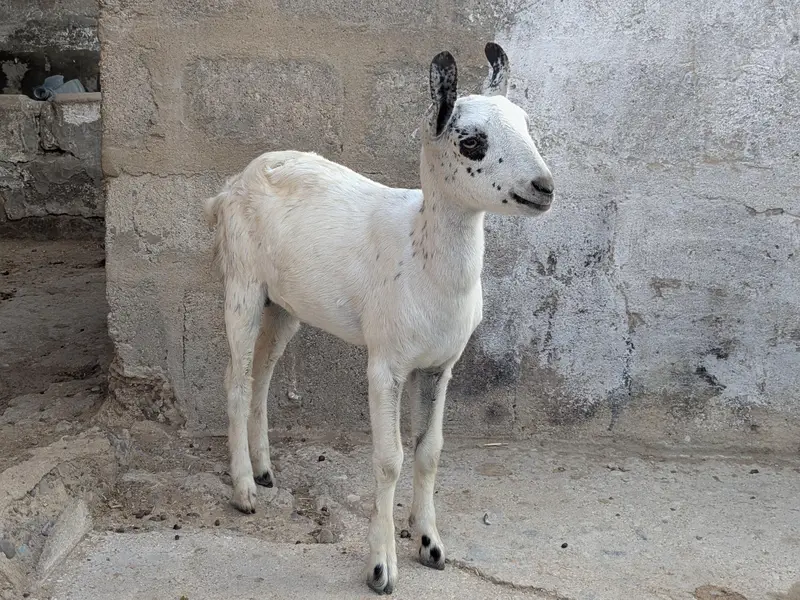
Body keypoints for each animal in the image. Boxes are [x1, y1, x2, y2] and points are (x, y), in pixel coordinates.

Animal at [204, 43, 555, 594]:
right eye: (471, 142)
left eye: (525, 123)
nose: (544, 187)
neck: (422, 261)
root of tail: (229, 188)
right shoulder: (385, 363)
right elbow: (389, 460)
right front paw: (381, 567)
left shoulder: (438, 366)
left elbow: (429, 450)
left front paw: (430, 544)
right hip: (241, 284)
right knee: (236, 381)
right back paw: (243, 491)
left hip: (285, 305)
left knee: (261, 375)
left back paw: (264, 471)